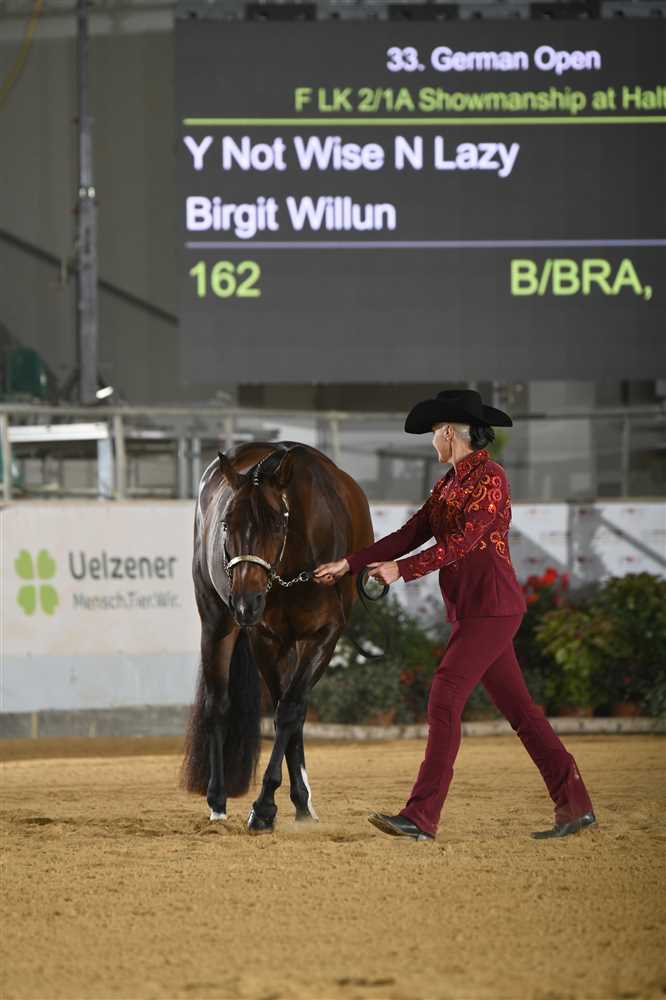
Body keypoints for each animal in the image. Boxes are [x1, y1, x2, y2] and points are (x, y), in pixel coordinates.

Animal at [182, 441, 374, 832]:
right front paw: (265, 807)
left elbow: (289, 711)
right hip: (216, 623)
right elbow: (281, 710)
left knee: (293, 709)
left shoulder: (324, 636)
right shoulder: (266, 639)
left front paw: (273, 804)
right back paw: (218, 801)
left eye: (276, 523)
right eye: (227, 523)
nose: (245, 603)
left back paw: (302, 802)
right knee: (217, 704)